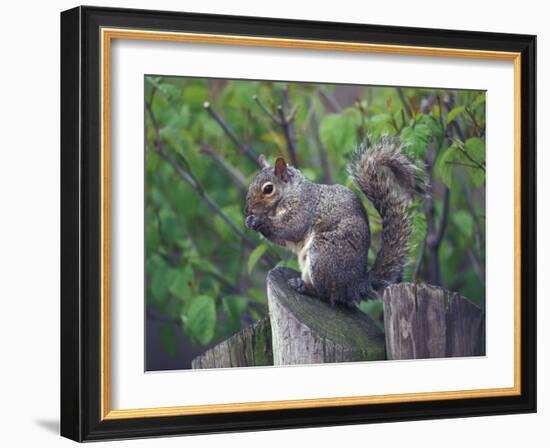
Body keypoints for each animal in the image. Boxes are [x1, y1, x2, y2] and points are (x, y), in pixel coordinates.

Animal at [246, 136, 426, 304]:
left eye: (268, 189)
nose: (249, 210)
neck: (291, 192)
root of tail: (355, 285)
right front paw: (250, 221)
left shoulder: (304, 208)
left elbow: (291, 227)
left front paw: (261, 220)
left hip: (323, 254)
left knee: (326, 294)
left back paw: (304, 286)